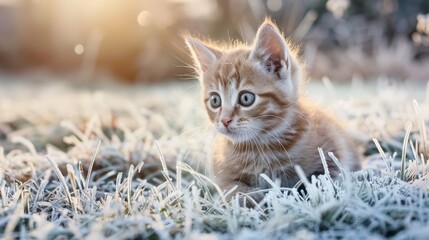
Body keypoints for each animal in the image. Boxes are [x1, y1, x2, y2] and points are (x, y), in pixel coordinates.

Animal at [186, 19, 360, 202]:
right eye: (215, 100)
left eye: (246, 98)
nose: (224, 120)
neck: (261, 147)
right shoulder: (221, 175)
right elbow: (233, 190)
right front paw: (252, 200)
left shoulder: (334, 150)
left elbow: (324, 179)